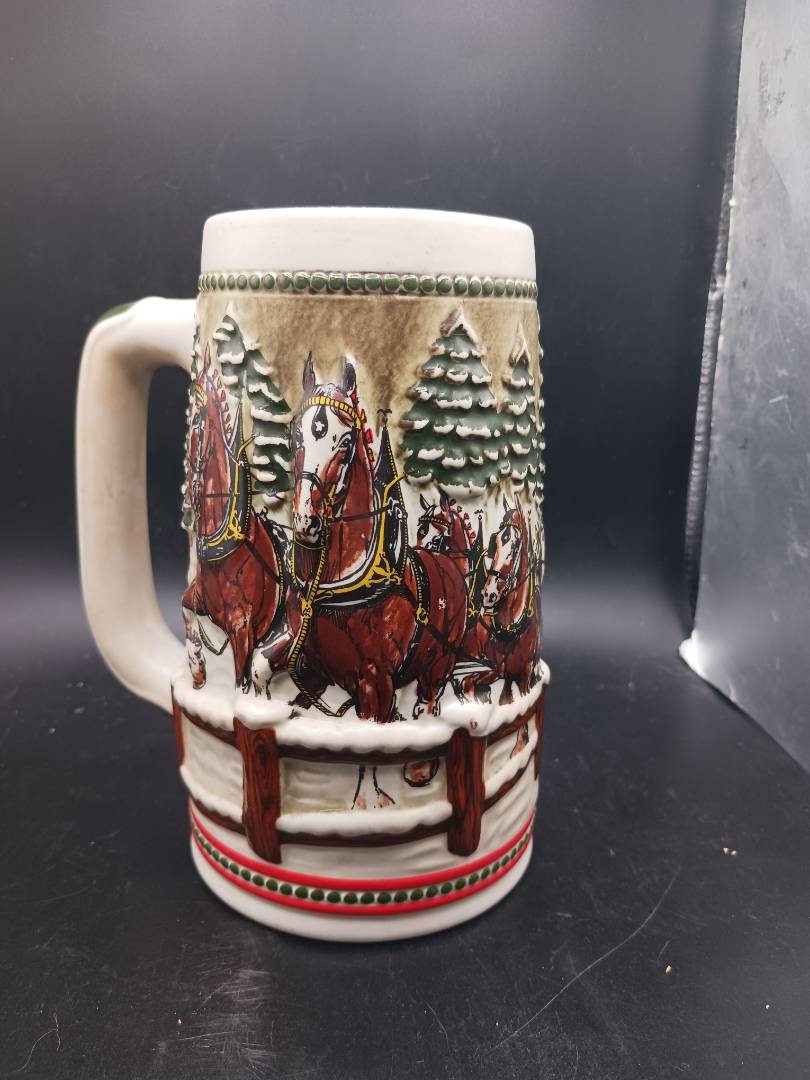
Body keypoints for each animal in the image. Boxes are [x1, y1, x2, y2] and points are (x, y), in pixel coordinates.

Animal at [181, 347, 287, 690]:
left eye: (197, 422)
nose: (191, 485)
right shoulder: (197, 598)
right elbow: (186, 611)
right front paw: (197, 667)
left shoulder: (243, 631)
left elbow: (241, 678)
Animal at [262, 354, 468, 722]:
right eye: (295, 436)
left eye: (345, 443)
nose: (305, 521)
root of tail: (452, 563)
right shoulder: (309, 669)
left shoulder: (376, 684)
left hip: (437, 669)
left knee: (430, 698)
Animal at [456, 494, 541, 706]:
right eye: (494, 540)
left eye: (516, 544)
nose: (489, 593)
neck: (512, 625)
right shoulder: (500, 672)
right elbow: (469, 684)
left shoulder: (524, 678)